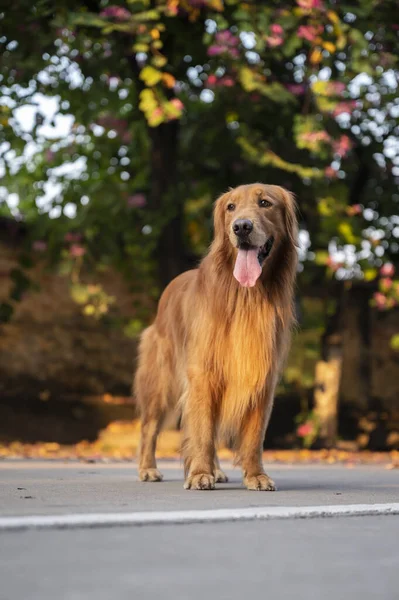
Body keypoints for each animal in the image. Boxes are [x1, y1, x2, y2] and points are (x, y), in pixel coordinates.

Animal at [134, 185, 296, 490]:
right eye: (231, 207)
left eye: (265, 202)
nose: (241, 227)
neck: (246, 296)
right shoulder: (203, 373)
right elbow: (201, 430)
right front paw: (199, 473)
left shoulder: (261, 376)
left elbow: (253, 436)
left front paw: (255, 475)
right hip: (162, 380)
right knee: (149, 427)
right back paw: (148, 469)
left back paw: (216, 469)